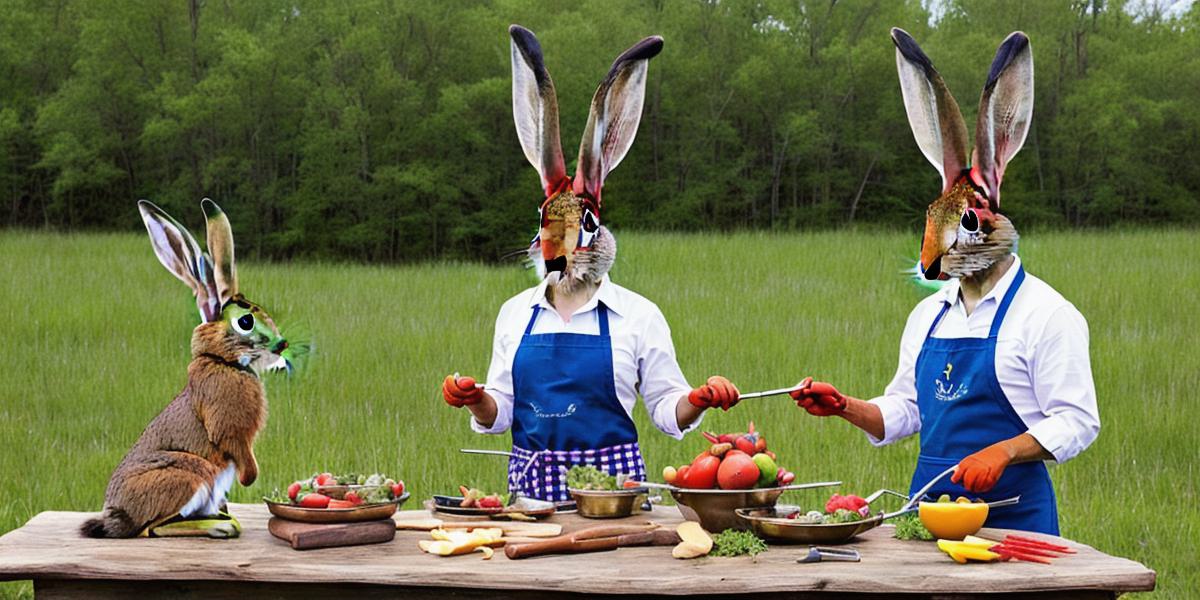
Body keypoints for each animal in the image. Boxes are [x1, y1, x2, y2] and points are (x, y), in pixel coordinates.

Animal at [81, 198, 291, 540]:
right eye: (245, 321)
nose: (282, 344)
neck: (221, 360)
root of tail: (118, 516)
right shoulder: (228, 428)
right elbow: (235, 445)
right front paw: (249, 477)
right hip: (191, 474)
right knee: (153, 528)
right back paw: (221, 526)